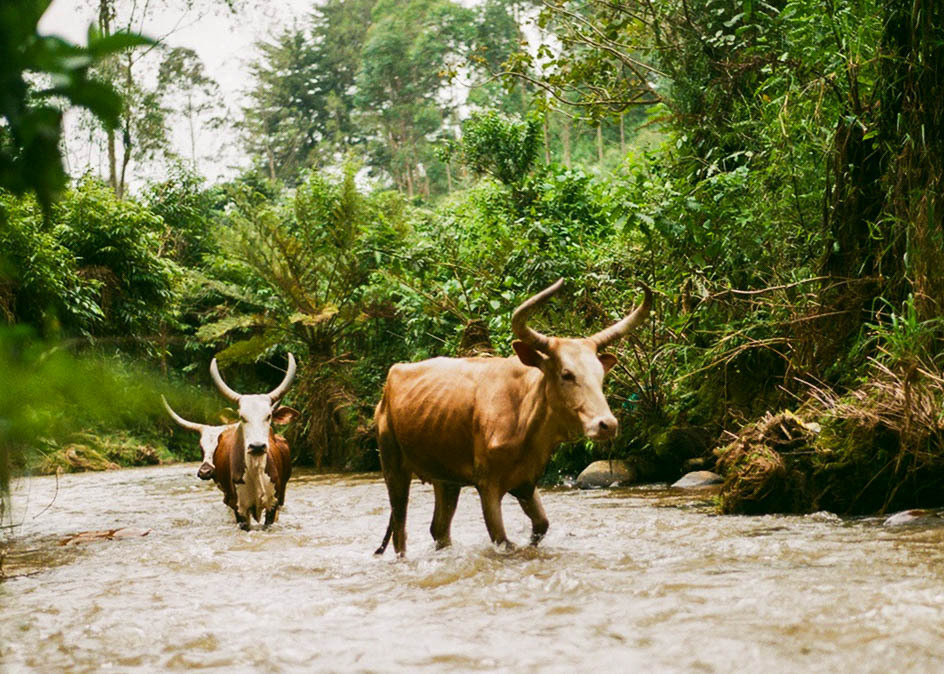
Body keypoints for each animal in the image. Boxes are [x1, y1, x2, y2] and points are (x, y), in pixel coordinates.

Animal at [206, 354, 299, 530]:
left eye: (268, 416)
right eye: (242, 416)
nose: (257, 446)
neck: (255, 470)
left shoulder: (273, 504)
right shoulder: (240, 508)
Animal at [374, 279, 651, 556]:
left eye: (600, 375)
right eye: (566, 374)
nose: (607, 425)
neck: (524, 417)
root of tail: (391, 378)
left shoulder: (526, 483)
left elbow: (541, 525)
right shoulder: (488, 485)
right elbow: (503, 541)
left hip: (446, 479)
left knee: (439, 530)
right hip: (393, 468)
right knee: (400, 531)